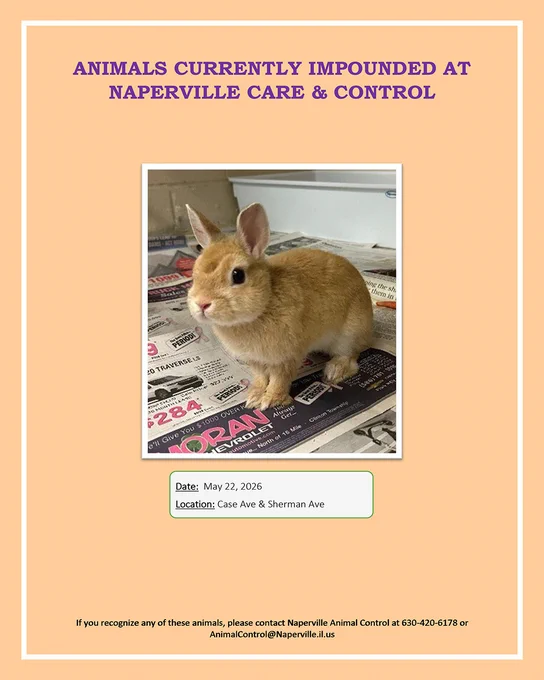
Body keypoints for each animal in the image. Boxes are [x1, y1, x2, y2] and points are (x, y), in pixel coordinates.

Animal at [186, 202, 373, 410]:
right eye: (194, 273)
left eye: (238, 275)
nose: (202, 303)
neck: (266, 302)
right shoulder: (255, 360)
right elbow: (260, 377)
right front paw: (253, 397)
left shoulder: (286, 356)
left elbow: (279, 379)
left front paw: (271, 401)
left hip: (348, 335)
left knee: (351, 357)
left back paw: (334, 371)